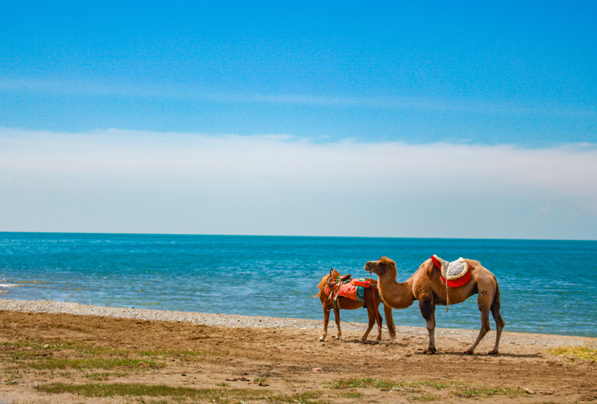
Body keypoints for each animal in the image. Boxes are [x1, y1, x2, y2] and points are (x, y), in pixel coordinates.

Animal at [364, 258, 502, 356]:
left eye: (381, 263)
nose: (367, 264)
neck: (410, 286)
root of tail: (492, 276)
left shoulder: (425, 298)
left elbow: (429, 326)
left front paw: (429, 349)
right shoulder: (432, 302)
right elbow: (434, 325)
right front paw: (433, 348)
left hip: (484, 289)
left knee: (485, 324)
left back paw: (470, 350)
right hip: (492, 296)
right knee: (499, 321)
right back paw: (494, 350)